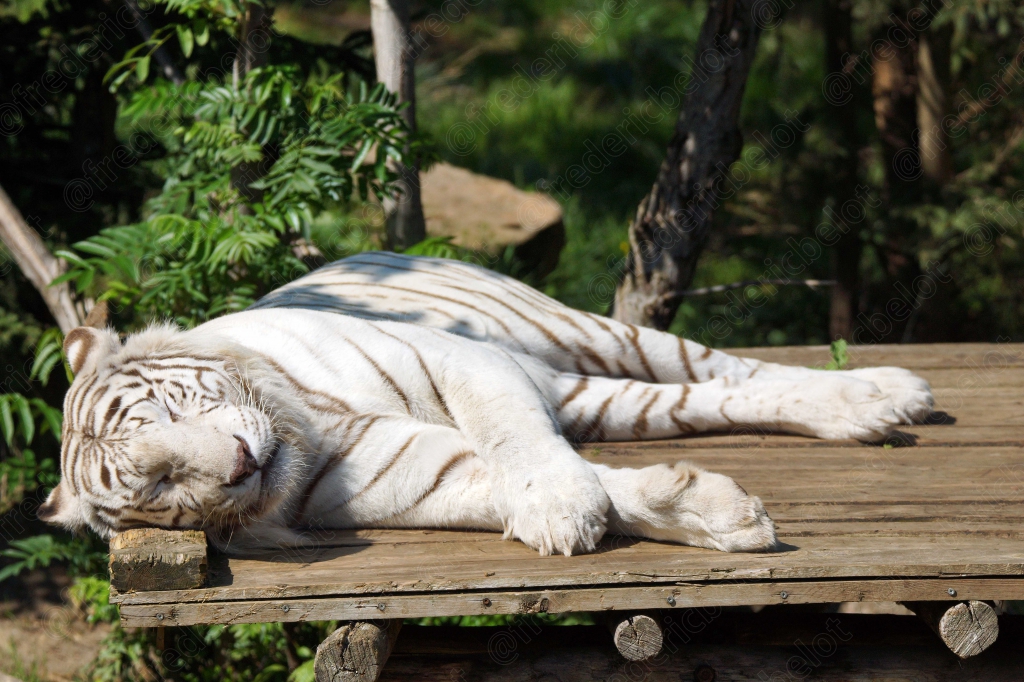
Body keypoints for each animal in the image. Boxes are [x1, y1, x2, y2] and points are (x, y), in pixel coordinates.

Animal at [39, 252, 933, 556]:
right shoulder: (416, 474)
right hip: (596, 393)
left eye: (171, 415)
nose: (237, 465)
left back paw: (885, 394)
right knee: (689, 402)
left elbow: (520, 445)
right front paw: (718, 516)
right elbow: (590, 484)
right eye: (160, 488)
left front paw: (562, 505)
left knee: (723, 366)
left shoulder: (465, 361)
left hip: (580, 333)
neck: (312, 429)